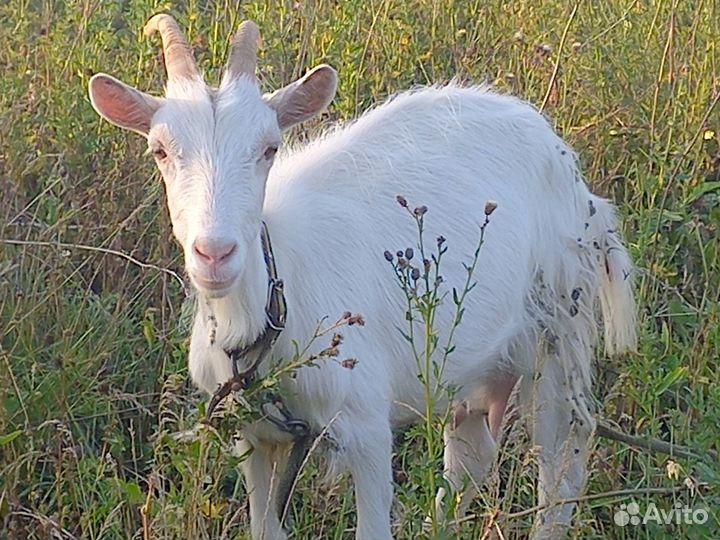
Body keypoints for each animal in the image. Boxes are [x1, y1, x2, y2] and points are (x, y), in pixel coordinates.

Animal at [88, 14, 636, 540]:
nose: (215, 253)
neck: (270, 317)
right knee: (471, 454)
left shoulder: (366, 427)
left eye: (269, 147)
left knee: (563, 455)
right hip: (477, 365)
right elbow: (265, 528)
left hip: (558, 327)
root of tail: (567, 166)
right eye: (160, 150)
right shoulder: (254, 437)